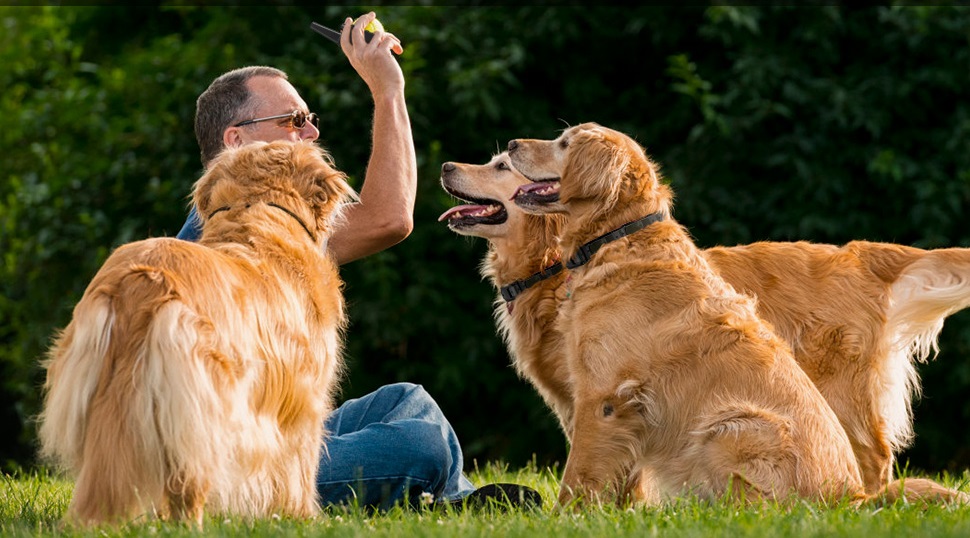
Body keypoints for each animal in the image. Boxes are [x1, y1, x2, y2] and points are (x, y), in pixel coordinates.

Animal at [38, 139, 356, 524]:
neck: (257, 216)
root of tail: (143, 279)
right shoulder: (302, 402)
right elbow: (298, 469)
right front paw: (302, 517)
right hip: (204, 407)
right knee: (189, 481)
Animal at [442, 149, 968, 496]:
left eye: (500, 167)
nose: (446, 166)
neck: (550, 269)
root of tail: (857, 255)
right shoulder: (584, 401)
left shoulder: (608, 395)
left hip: (832, 397)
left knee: (871, 461)